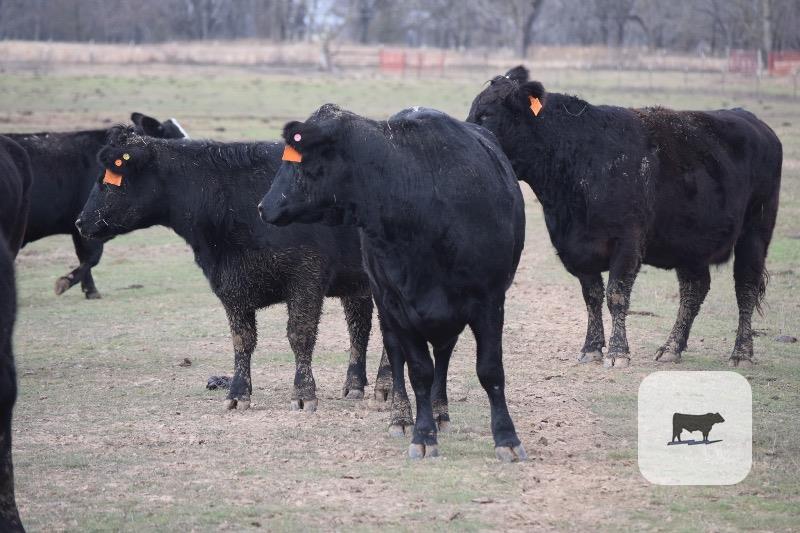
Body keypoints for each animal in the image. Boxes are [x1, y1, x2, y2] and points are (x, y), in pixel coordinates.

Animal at [76, 127, 391, 411]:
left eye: (107, 180)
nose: (80, 222)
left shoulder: (307, 277)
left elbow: (299, 335)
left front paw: (303, 394)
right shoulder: (231, 286)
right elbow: (242, 340)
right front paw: (238, 394)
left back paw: (384, 388)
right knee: (360, 326)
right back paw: (354, 386)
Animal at [259, 104, 528, 462]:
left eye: (295, 160)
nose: (264, 206)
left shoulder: (489, 301)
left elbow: (489, 370)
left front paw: (506, 438)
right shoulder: (398, 305)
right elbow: (418, 372)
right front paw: (422, 435)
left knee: (443, 355)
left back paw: (440, 412)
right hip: (384, 303)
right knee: (397, 356)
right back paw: (401, 418)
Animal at [467, 66, 782, 369]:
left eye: (486, 114)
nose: (471, 136)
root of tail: (752, 119)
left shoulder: (627, 242)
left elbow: (616, 295)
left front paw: (618, 353)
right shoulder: (576, 248)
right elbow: (592, 297)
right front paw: (591, 349)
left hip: (756, 230)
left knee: (746, 287)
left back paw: (741, 353)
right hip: (691, 243)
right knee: (694, 289)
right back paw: (671, 348)